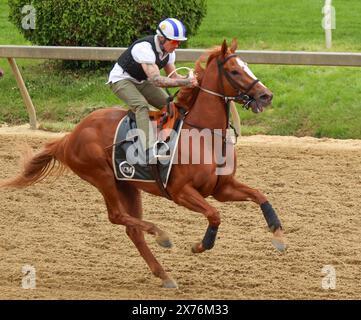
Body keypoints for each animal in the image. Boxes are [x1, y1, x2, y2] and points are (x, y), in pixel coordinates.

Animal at [1, 38, 286, 288]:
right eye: (235, 70)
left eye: (247, 65)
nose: (266, 96)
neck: (203, 134)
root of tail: (70, 136)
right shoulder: (181, 192)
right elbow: (214, 215)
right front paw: (200, 245)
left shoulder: (222, 188)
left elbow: (260, 196)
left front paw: (279, 236)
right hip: (102, 177)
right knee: (117, 216)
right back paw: (162, 235)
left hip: (128, 185)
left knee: (132, 230)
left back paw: (164, 275)